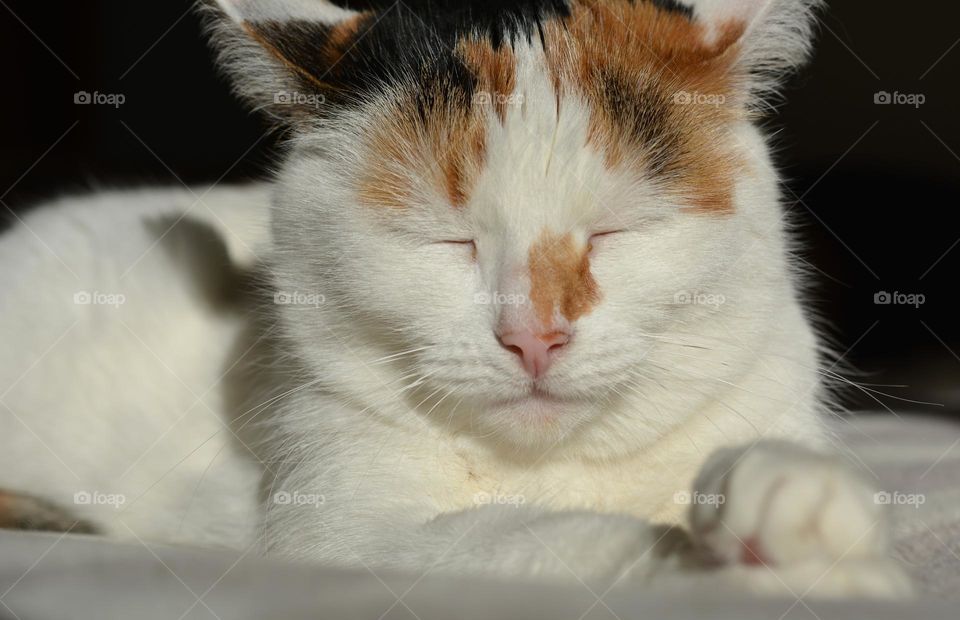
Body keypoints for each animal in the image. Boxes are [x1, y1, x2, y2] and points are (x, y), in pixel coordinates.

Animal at [0, 0, 916, 600]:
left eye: (613, 233)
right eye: (449, 242)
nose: (534, 335)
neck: (552, 468)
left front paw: (790, 495)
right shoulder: (344, 535)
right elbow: (543, 538)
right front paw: (751, 565)